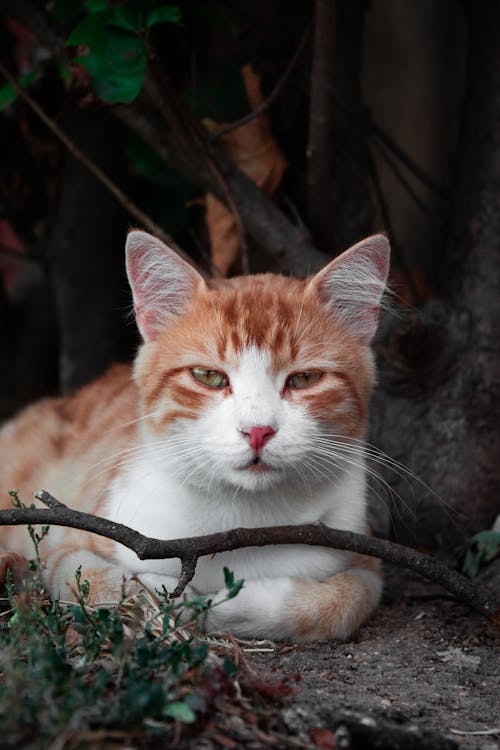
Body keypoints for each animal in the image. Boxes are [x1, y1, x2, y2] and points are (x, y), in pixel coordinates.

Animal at [0, 232, 390, 644]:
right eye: (208, 376)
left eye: (304, 379)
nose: (257, 431)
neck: (241, 518)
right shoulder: (70, 543)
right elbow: (91, 578)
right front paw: (155, 600)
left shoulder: (363, 556)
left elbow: (342, 602)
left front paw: (228, 608)